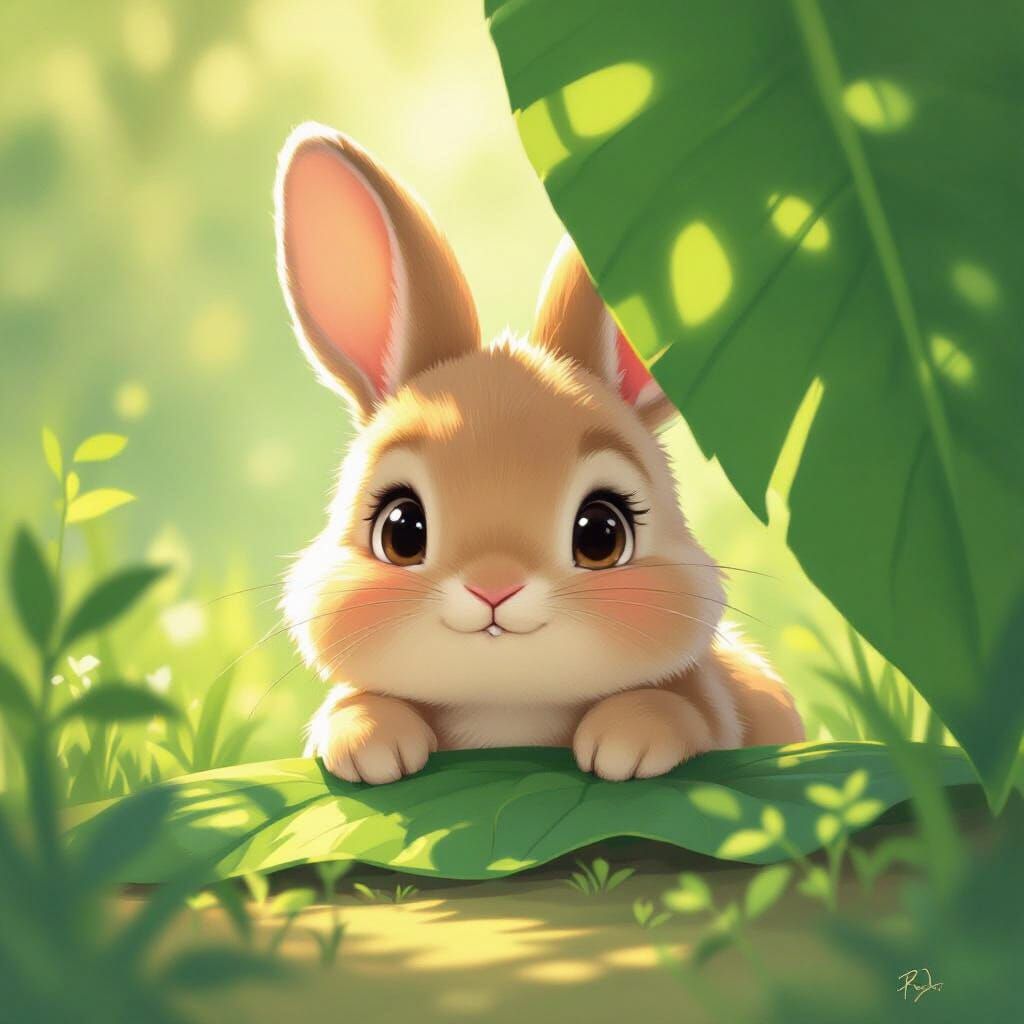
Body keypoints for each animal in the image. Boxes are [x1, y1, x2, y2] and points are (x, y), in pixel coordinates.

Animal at [275, 122, 804, 785]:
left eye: (602, 533)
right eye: (401, 530)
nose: (494, 589)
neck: (508, 710)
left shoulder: (713, 703)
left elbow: (684, 708)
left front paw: (630, 737)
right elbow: (350, 705)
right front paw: (369, 740)